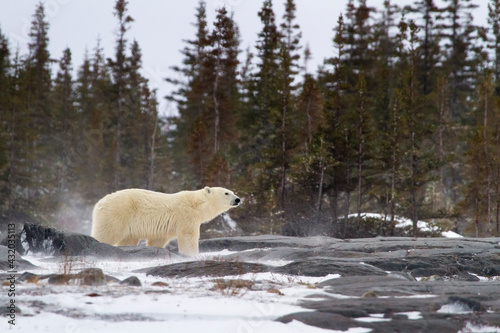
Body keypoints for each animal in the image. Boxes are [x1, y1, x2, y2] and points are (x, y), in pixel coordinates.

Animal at [91, 187, 241, 254]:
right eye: (227, 193)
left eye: (233, 191)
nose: (238, 199)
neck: (197, 204)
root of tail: (99, 203)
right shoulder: (186, 215)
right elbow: (188, 236)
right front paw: (192, 254)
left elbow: (158, 239)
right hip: (117, 213)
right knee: (107, 233)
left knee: (128, 239)